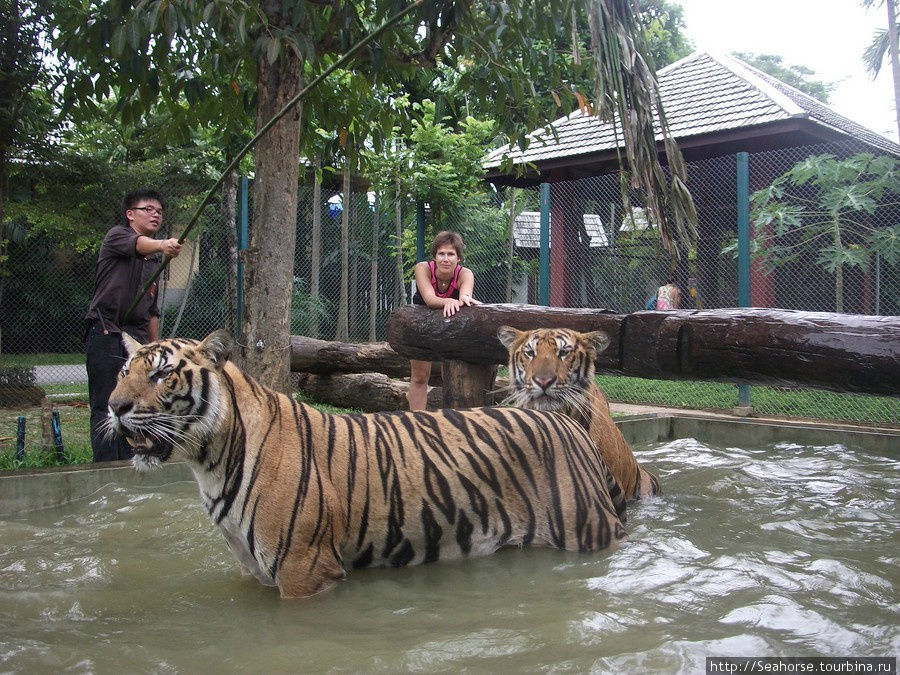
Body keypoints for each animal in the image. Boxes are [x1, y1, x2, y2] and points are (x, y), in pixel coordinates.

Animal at [105, 330, 624, 600]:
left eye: (161, 374)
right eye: (123, 372)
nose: (114, 406)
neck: (210, 460)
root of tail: (564, 420)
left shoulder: (305, 570)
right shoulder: (255, 572)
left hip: (583, 530)